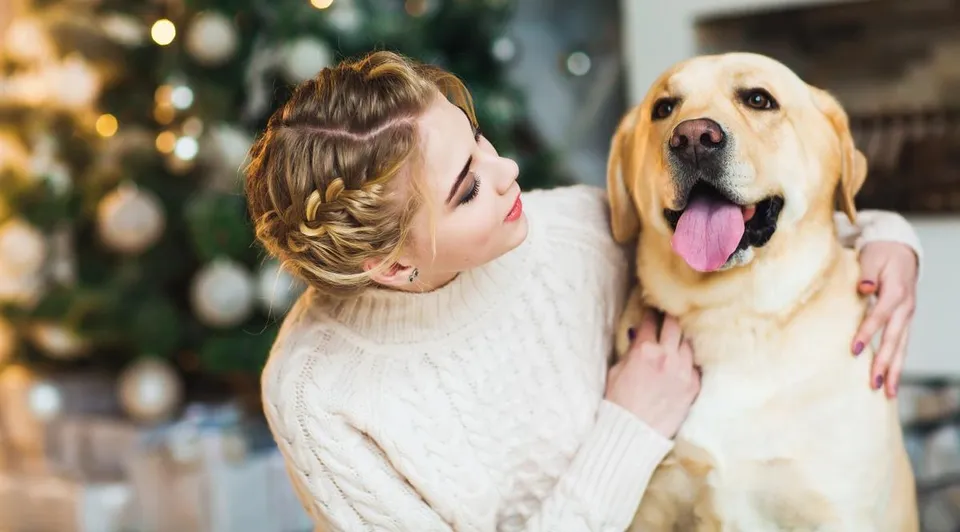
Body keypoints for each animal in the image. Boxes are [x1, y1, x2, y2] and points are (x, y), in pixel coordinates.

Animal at [608, 51, 916, 532]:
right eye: (663, 108)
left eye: (758, 99)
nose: (693, 137)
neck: (731, 313)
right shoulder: (652, 505)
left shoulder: (841, 509)